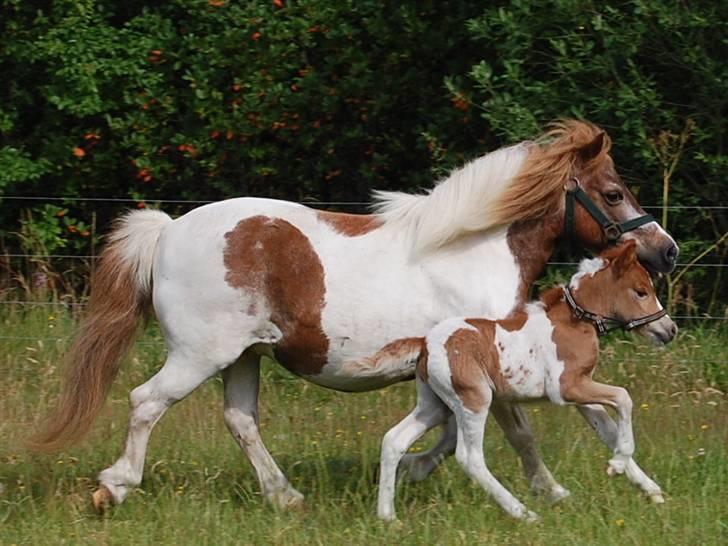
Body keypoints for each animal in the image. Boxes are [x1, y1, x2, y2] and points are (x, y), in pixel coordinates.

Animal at [382, 241, 676, 520]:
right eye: (641, 291)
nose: (669, 330)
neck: (573, 322)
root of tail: (425, 343)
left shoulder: (582, 391)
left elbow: (608, 430)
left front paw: (649, 488)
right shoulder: (566, 387)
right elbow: (624, 397)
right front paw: (617, 464)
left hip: (434, 404)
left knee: (394, 440)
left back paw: (388, 517)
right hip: (474, 399)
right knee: (470, 458)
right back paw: (524, 514)